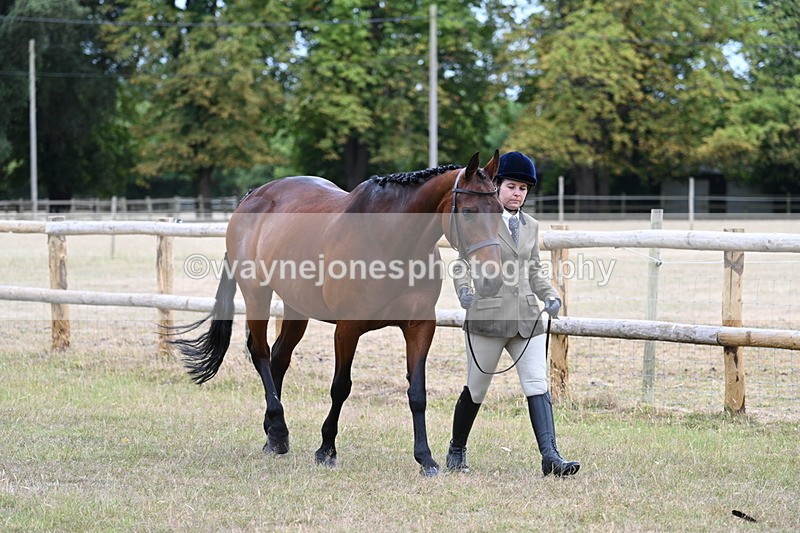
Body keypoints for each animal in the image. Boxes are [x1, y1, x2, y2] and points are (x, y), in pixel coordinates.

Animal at [171, 151, 504, 476]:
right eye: (468, 211)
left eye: (500, 210)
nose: (492, 279)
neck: (390, 241)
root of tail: (253, 196)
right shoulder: (347, 329)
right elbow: (340, 388)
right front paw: (326, 450)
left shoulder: (420, 326)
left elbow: (417, 393)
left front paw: (426, 458)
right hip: (257, 294)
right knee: (261, 353)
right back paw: (279, 431)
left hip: (296, 307)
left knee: (279, 358)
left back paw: (272, 435)